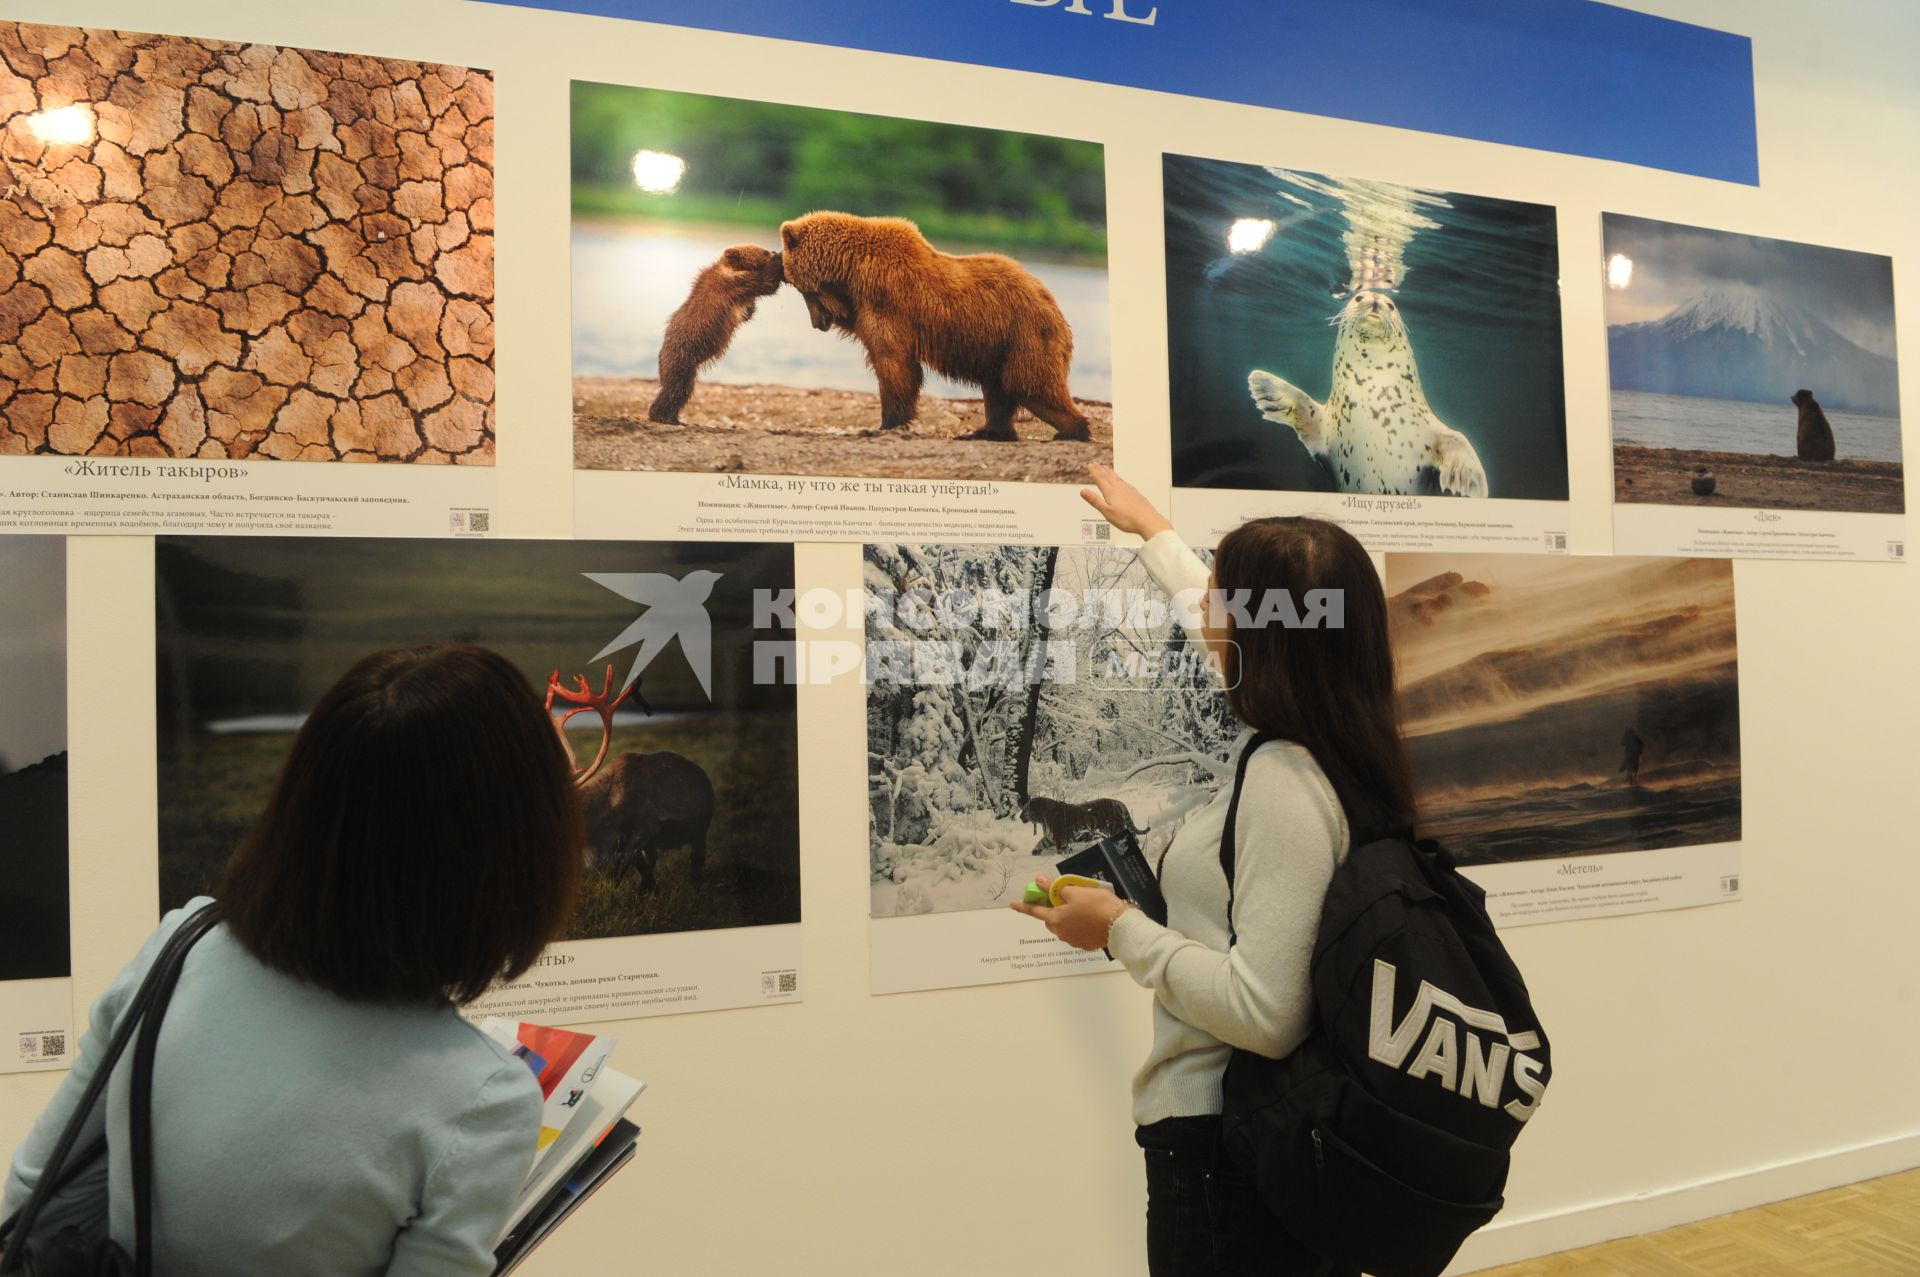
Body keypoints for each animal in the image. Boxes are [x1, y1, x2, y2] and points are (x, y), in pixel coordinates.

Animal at [771, 211, 1090, 441]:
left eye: (802, 290)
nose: (818, 323)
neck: (851, 270)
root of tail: (1054, 305)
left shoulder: (887, 301)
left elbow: (894, 363)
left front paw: (886, 423)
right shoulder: (863, 305)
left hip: (1024, 335)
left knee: (1031, 385)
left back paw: (1071, 429)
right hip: (998, 347)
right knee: (999, 390)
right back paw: (985, 432)